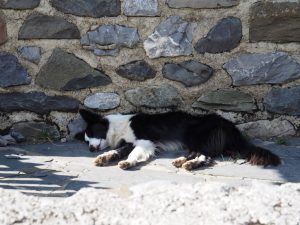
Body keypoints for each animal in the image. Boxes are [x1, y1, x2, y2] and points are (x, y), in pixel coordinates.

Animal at [77, 109, 282, 171]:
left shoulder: (145, 141)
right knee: (204, 155)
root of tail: (230, 125)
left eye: (92, 133)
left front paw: (128, 162)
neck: (119, 126)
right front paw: (105, 157)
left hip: (197, 136)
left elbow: (133, 154)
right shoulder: (130, 142)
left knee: (205, 156)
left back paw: (189, 164)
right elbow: (116, 151)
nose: (90, 150)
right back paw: (183, 161)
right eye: (86, 141)